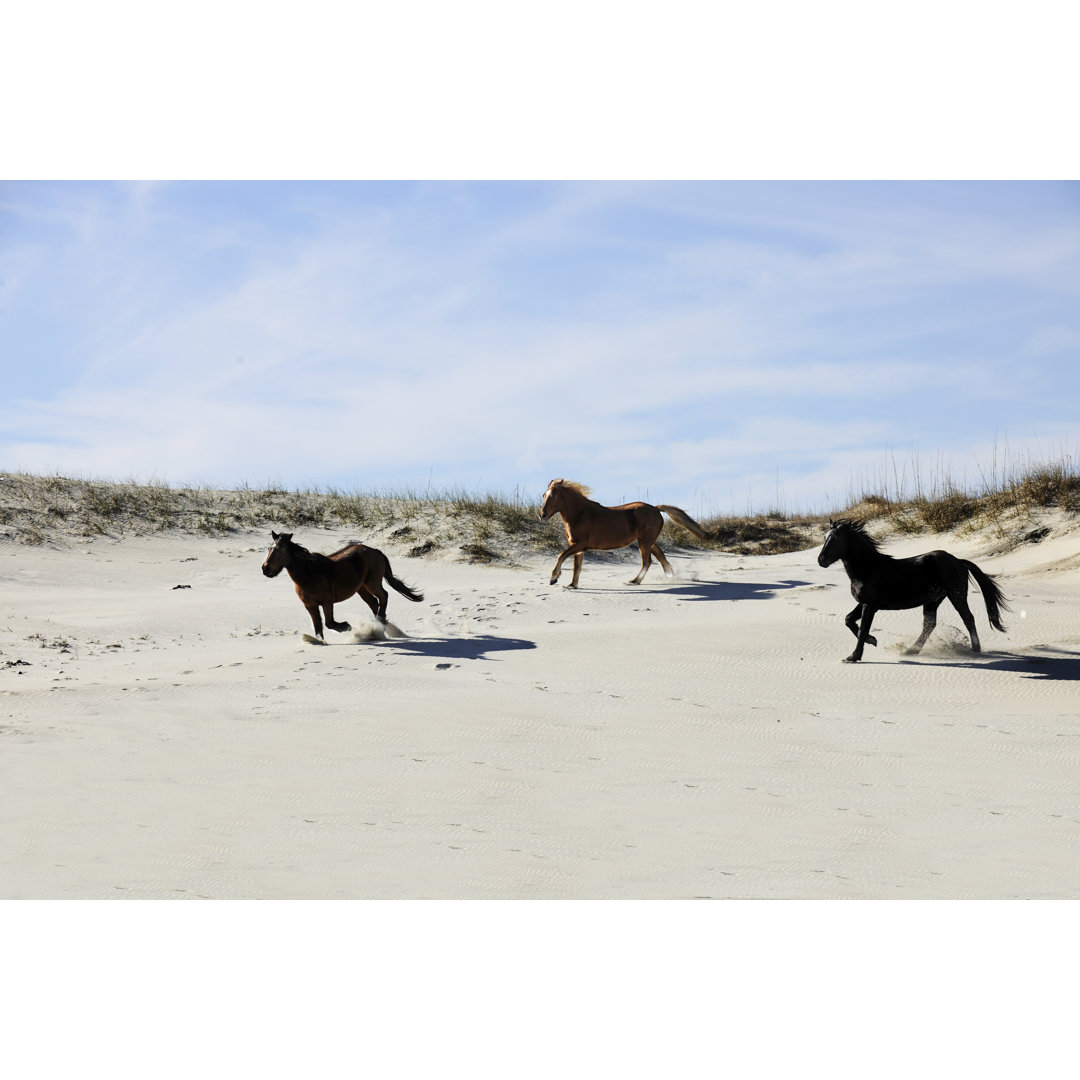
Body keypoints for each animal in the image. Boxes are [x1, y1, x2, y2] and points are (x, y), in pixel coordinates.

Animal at [263, 531, 423, 639]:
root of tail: (376, 551)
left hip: (372, 583)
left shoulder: (327, 602)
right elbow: (318, 628)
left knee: (383, 596)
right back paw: (378, 626)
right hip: (361, 588)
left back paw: (381, 621)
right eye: (269, 549)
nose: (265, 569)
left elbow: (329, 623)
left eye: (280, 550)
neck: (309, 574)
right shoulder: (310, 605)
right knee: (373, 602)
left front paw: (347, 626)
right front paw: (319, 642)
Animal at [535, 477, 712, 587]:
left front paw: (553, 578)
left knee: (647, 562)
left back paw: (634, 581)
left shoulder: (580, 545)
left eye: (553, 496)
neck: (580, 514)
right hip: (648, 541)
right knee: (661, 557)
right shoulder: (577, 546)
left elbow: (561, 555)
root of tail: (655, 508)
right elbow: (576, 566)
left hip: (644, 542)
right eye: (544, 495)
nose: (542, 515)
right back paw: (670, 577)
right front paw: (572, 585)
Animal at [816, 518, 1010, 660]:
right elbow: (849, 620)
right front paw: (873, 640)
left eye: (835, 539)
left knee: (968, 619)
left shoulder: (870, 606)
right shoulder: (864, 603)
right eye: (825, 538)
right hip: (933, 600)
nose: (821, 560)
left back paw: (975, 650)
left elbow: (863, 628)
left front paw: (854, 656)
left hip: (957, 596)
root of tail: (958, 561)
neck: (867, 569)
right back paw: (911, 650)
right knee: (929, 625)